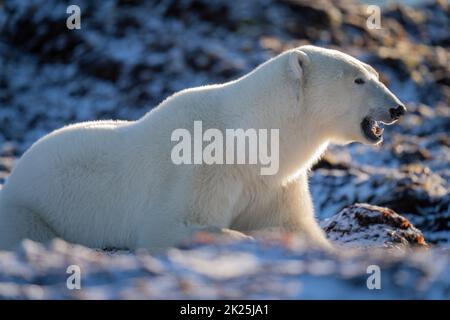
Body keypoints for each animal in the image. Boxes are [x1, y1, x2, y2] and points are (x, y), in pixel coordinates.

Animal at [0, 45, 406, 250]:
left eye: (376, 73)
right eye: (358, 79)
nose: (397, 108)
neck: (252, 137)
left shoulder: (276, 182)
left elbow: (298, 225)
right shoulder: (203, 167)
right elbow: (171, 225)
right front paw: (251, 238)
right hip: (29, 209)